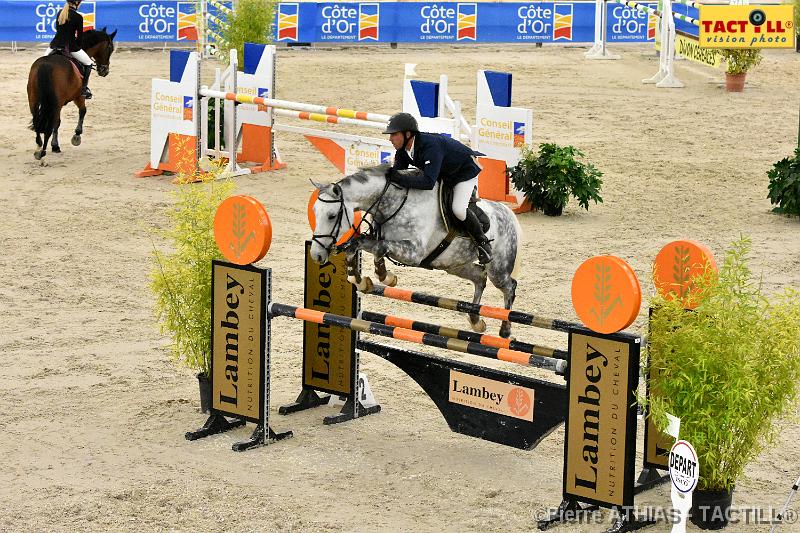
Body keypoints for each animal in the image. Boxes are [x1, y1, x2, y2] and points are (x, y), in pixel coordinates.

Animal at [26, 28, 115, 160]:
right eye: (110, 49)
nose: (105, 71)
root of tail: (45, 65)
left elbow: (57, 123)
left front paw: (55, 145)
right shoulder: (78, 97)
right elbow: (82, 111)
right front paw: (76, 137)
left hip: (33, 100)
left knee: (37, 120)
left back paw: (39, 147)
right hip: (55, 103)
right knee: (50, 123)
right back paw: (42, 152)